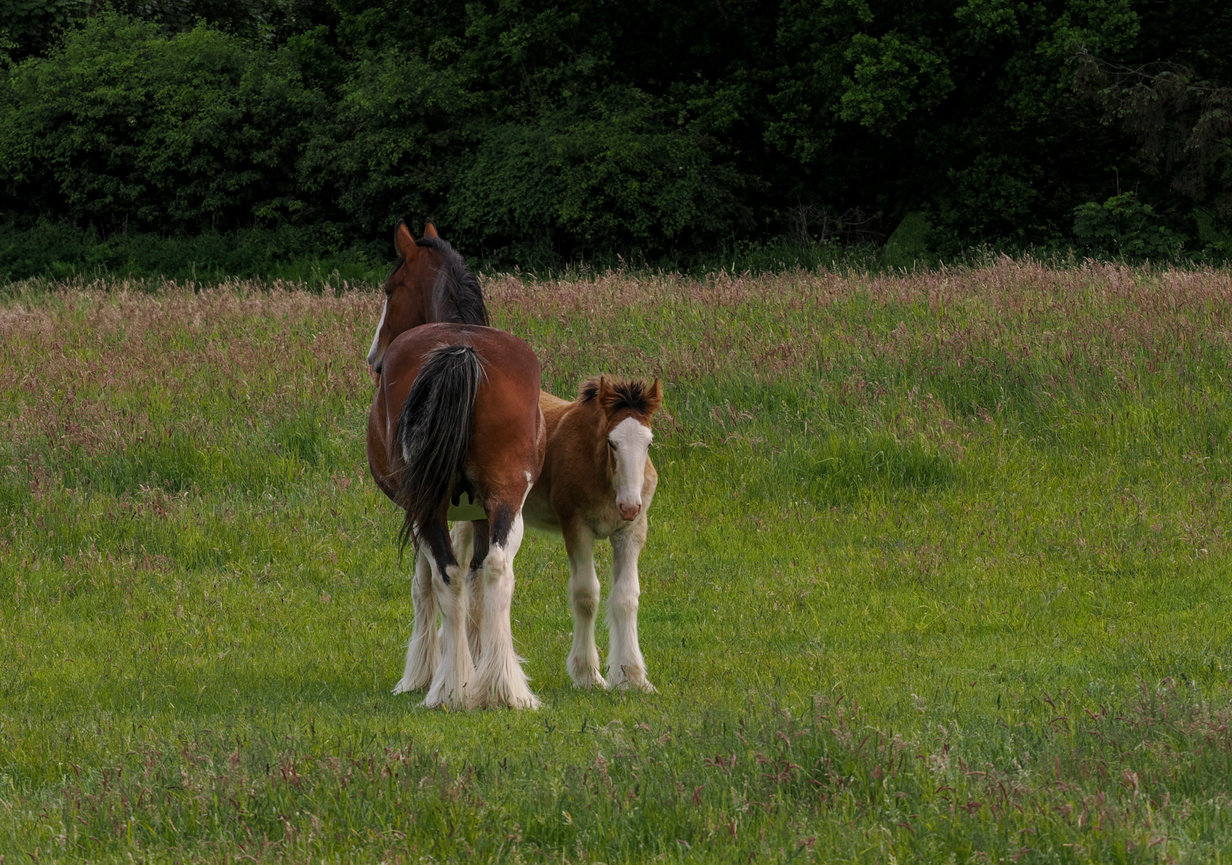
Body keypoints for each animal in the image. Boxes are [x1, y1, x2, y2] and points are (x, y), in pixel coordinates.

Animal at [367, 221, 546, 710]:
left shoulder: (419, 507)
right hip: (507, 495)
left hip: (428, 506)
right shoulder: (477, 511)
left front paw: (421, 672)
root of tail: (463, 350)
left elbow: (425, 583)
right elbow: (478, 575)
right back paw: (503, 687)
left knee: (447, 576)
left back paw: (448, 688)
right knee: (496, 569)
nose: (373, 359)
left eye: (390, 289)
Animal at [456, 376, 662, 692]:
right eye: (612, 442)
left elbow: (626, 597)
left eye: (649, 443)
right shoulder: (576, 526)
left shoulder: (630, 531)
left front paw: (632, 677)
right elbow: (586, 594)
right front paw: (588, 674)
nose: (630, 505)